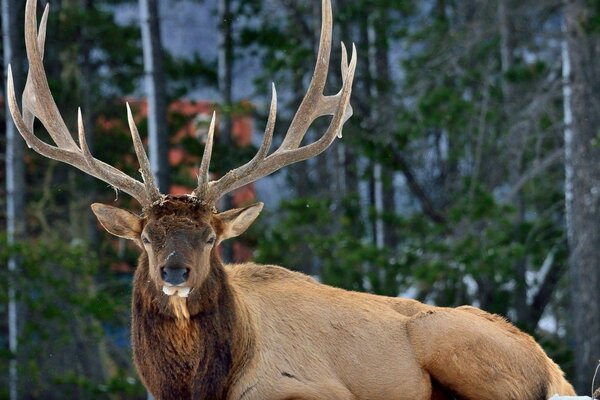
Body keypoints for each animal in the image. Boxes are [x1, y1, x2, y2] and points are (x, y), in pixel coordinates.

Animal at [5, 0, 576, 400]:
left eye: (210, 237)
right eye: (146, 238)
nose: (174, 271)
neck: (201, 384)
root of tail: (554, 370)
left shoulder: (313, 387)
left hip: (450, 342)